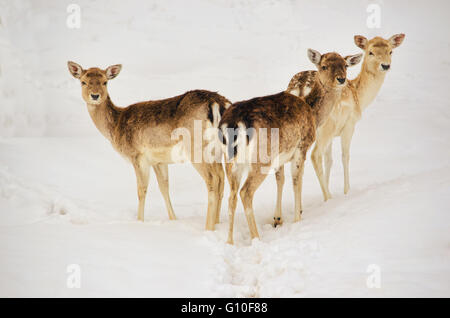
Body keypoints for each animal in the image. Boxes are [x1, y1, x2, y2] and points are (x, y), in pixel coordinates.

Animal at [67, 60, 230, 230]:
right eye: (83, 82)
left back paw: (208, 227)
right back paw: (217, 223)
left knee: (212, 180)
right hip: (218, 150)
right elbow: (164, 187)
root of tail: (218, 103)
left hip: (197, 147)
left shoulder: (137, 155)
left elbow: (141, 189)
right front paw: (173, 219)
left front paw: (140, 221)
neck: (116, 127)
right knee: (221, 178)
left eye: (105, 82)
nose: (95, 95)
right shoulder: (158, 161)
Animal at [218, 49, 362, 243]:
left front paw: (279, 218)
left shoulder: (281, 156)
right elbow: (296, 180)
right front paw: (297, 219)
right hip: (261, 158)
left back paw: (230, 241)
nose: (341, 79)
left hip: (230, 161)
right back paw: (256, 238)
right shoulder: (302, 146)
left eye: (345, 65)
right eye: (324, 66)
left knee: (231, 195)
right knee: (245, 192)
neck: (313, 113)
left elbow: (282, 179)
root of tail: (233, 123)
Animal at [272, 33, 406, 224]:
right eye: (370, 52)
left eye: (390, 51)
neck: (359, 97)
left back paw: (279, 217)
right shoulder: (348, 125)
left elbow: (329, 160)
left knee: (283, 170)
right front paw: (345, 191)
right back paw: (325, 199)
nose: (385, 65)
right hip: (322, 130)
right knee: (313, 156)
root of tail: (300, 88)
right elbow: (344, 156)